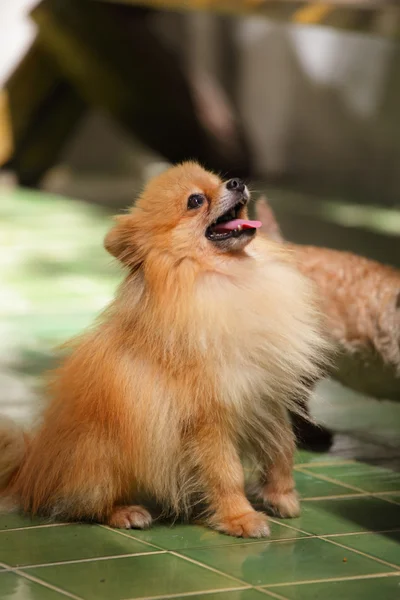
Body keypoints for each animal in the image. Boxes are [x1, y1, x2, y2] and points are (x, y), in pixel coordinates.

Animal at [0, 162, 328, 536]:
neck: (232, 276)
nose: (236, 182)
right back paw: (125, 512)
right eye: (195, 200)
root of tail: (31, 469)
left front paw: (281, 496)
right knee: (87, 504)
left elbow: (282, 449)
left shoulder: (266, 395)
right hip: (103, 454)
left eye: (219, 180)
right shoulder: (207, 417)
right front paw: (240, 518)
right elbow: (226, 472)